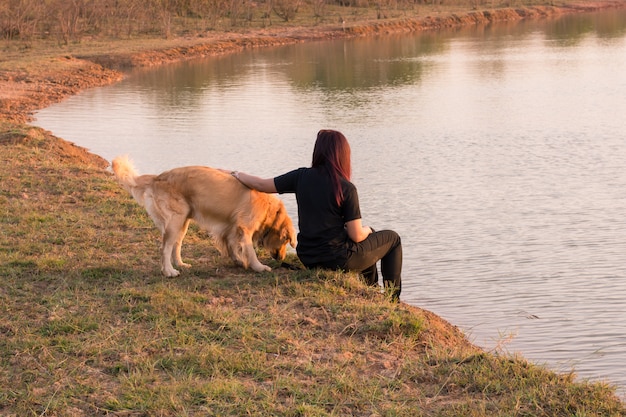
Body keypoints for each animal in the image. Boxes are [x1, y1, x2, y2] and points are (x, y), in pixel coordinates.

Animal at [111, 154, 296, 274]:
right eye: (286, 240)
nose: (281, 258)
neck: (269, 210)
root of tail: (157, 177)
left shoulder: (230, 227)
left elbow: (231, 244)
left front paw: (237, 260)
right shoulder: (244, 228)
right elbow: (249, 251)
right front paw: (259, 267)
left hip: (183, 222)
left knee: (176, 245)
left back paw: (180, 264)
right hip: (175, 221)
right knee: (165, 247)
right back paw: (169, 271)